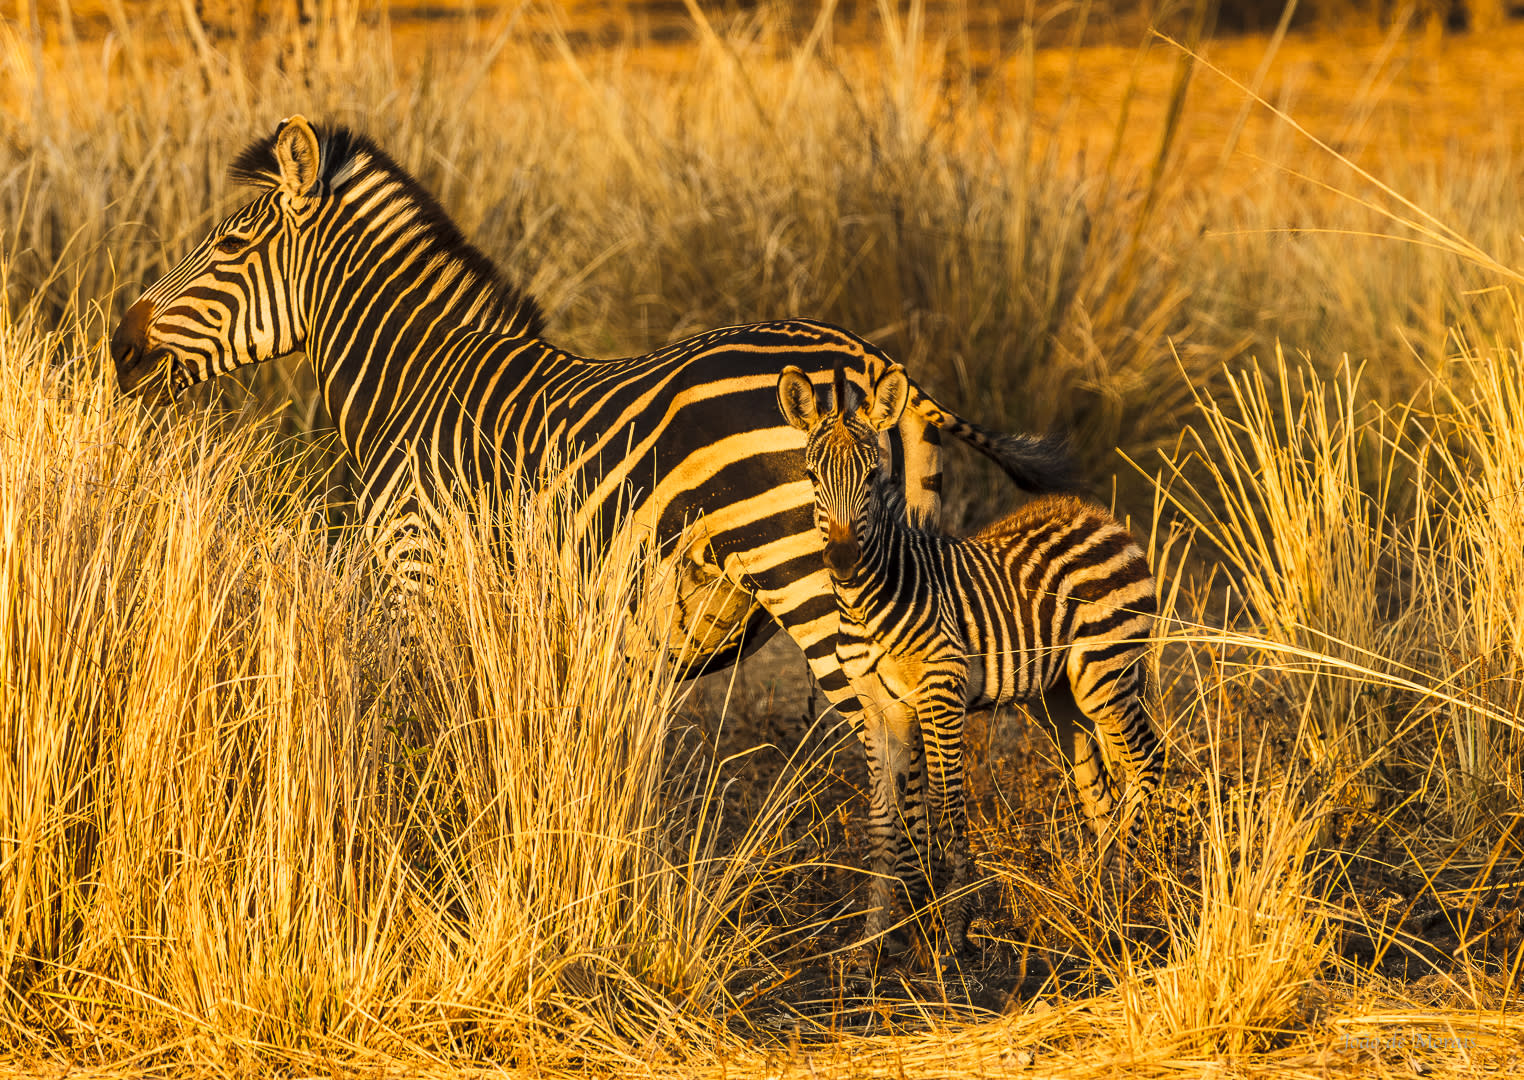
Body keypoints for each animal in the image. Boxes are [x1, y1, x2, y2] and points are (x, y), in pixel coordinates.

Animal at [112, 115, 1072, 786]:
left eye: (230, 246)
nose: (121, 347)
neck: (414, 380)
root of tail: (872, 361)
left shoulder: (421, 565)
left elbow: (430, 724)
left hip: (813, 574)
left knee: (887, 732)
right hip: (901, 580)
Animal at [780, 359, 1158, 944]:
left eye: (872, 477)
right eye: (812, 476)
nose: (841, 562)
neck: (866, 600)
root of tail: (1102, 517)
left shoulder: (942, 687)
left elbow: (948, 800)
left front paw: (954, 927)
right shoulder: (878, 706)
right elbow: (883, 819)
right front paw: (872, 940)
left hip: (1107, 674)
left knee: (1146, 761)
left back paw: (1137, 887)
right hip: (1060, 696)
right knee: (1100, 786)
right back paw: (1102, 900)